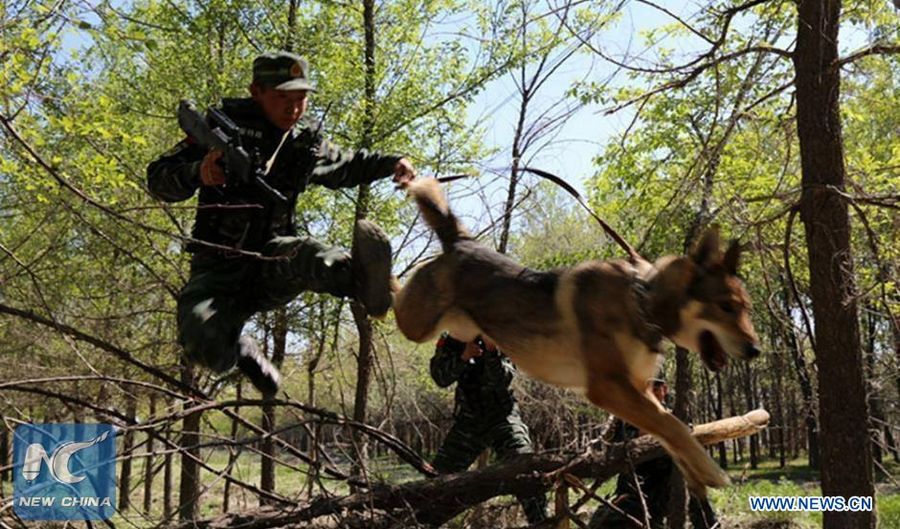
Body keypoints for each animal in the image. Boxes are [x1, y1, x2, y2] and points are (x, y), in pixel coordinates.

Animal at [394, 178, 760, 496]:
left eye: (746, 308)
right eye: (726, 307)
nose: (755, 350)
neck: (642, 299)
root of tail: (460, 242)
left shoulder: (640, 390)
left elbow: (672, 429)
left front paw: (694, 473)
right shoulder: (608, 388)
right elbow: (673, 428)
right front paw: (712, 471)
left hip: (460, 329)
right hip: (414, 324)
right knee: (394, 296)